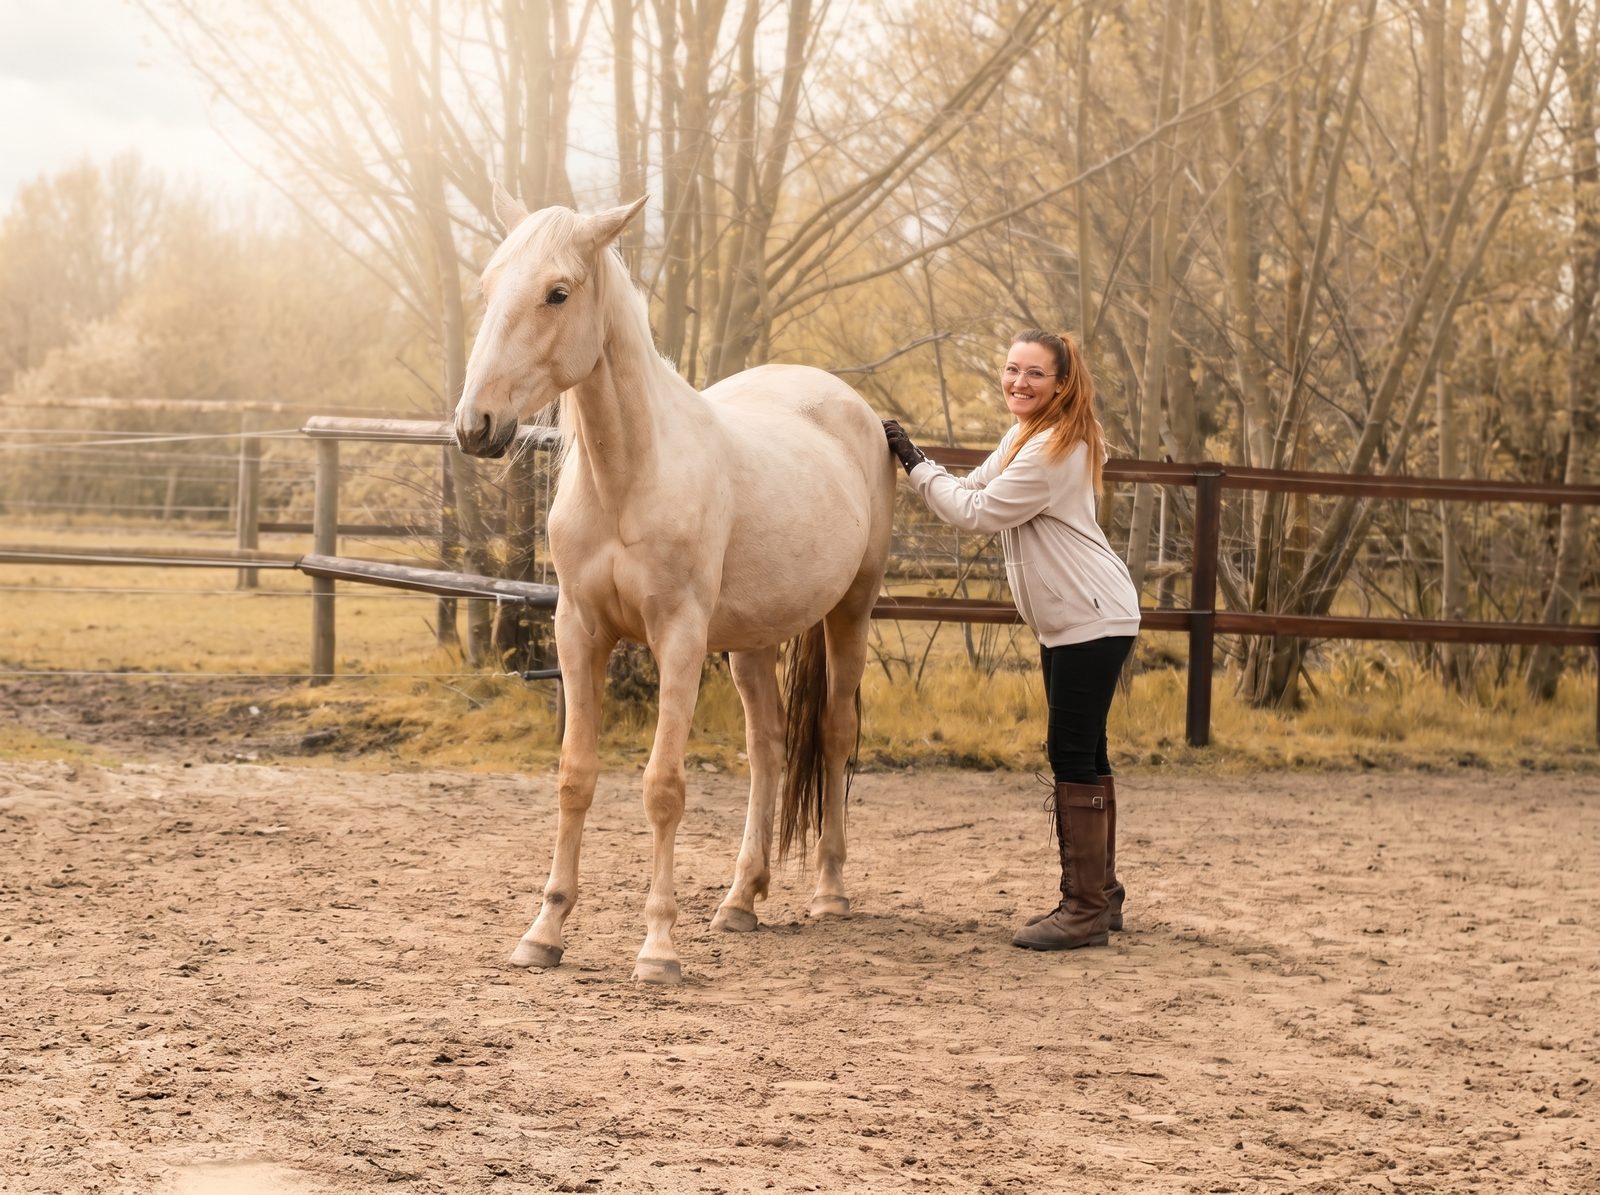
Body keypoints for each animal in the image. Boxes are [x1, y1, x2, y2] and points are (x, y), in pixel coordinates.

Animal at [453, 188, 896, 984]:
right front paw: (544, 930)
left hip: (851, 611)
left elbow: (663, 787)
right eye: (487, 287)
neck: (630, 475)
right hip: (752, 641)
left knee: (834, 734)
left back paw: (829, 892)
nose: (477, 425)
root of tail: (854, 409)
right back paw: (741, 899)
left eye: (557, 292)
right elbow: (575, 776)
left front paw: (658, 947)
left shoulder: (680, 640)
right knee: (768, 748)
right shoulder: (579, 633)